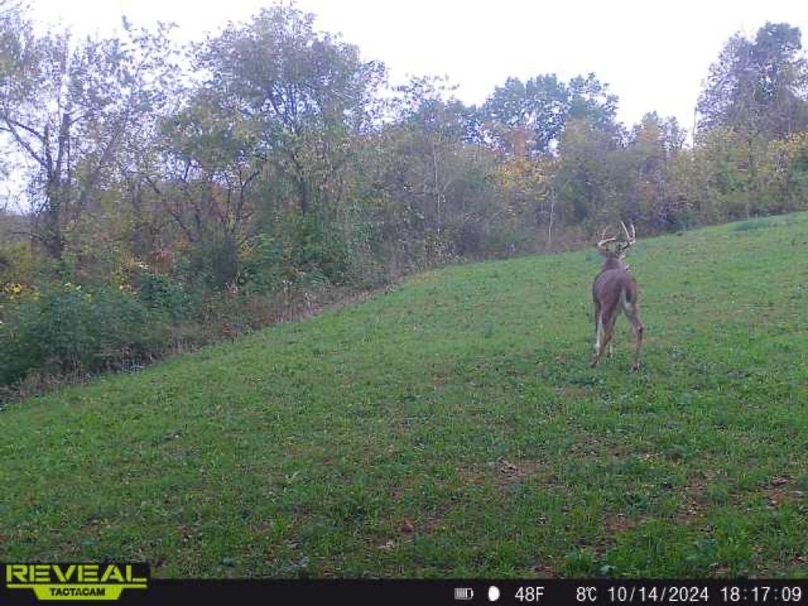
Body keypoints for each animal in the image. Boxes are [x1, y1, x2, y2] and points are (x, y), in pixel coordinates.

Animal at [591, 221, 644, 371]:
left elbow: (598, 328)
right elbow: (613, 327)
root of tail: (624, 283)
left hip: (607, 304)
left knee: (608, 332)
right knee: (639, 328)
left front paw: (597, 350)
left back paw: (595, 362)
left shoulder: (596, 302)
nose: (627, 267)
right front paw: (610, 353)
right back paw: (635, 364)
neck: (610, 266)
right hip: (632, 305)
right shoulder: (617, 311)